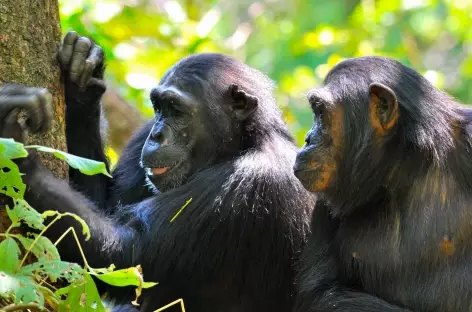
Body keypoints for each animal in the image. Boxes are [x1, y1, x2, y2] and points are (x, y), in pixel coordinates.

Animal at [0, 32, 318, 312]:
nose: (156, 135)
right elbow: (104, 207)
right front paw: (82, 74)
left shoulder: (251, 182)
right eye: (158, 106)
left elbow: (125, 255)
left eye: (176, 110)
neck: (243, 143)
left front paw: (12, 148)